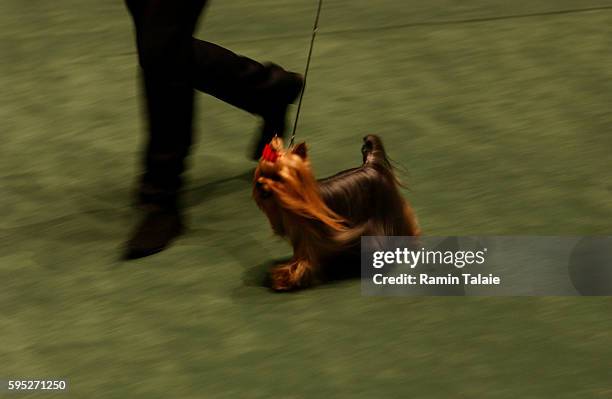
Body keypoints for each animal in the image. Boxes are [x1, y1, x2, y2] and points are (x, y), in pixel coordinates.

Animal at [251, 134, 418, 290]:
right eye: (262, 173)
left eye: (277, 177)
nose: (259, 184)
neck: (300, 202)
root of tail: (371, 165)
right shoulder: (303, 237)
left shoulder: (310, 239)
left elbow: (304, 261)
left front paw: (287, 278)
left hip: (386, 210)